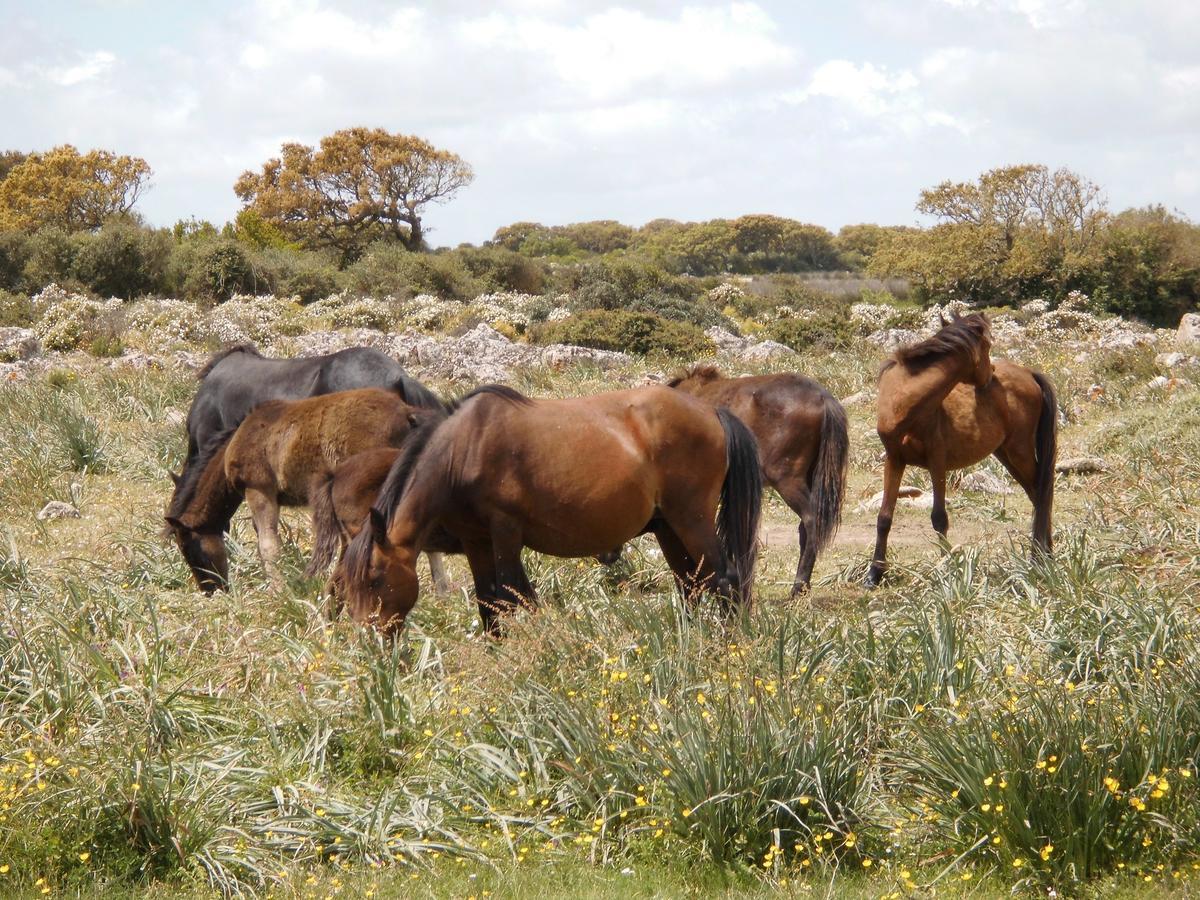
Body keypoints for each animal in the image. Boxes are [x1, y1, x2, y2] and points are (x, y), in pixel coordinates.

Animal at [164, 386, 451, 592]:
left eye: (190, 550)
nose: (212, 591)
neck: (240, 439)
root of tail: (406, 412)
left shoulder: (259, 490)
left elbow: (268, 545)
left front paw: (278, 592)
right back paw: (442, 592)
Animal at [331, 388, 758, 643]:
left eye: (374, 579)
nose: (368, 644)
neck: (465, 449)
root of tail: (711, 411)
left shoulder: (505, 531)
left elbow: (510, 595)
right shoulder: (476, 540)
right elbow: (488, 602)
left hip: (692, 519)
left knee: (725, 580)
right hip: (668, 528)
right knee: (691, 585)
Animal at [864, 314, 1060, 588]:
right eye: (988, 345)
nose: (991, 375)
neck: (905, 404)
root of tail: (1028, 373)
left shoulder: (937, 462)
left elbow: (939, 518)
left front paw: (948, 572)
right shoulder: (894, 460)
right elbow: (884, 518)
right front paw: (874, 574)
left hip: (1019, 452)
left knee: (1042, 496)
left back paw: (1041, 560)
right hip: (1007, 455)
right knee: (1037, 495)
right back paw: (1043, 557)